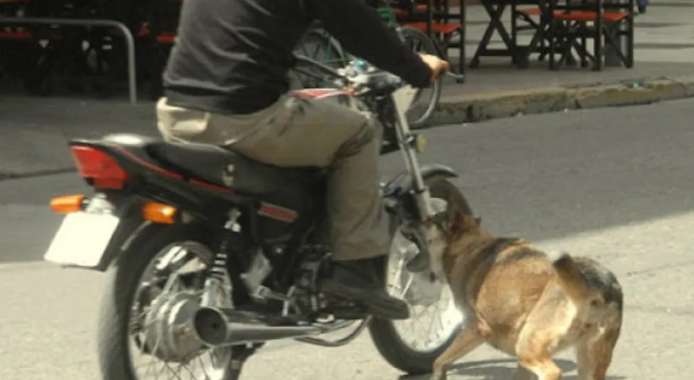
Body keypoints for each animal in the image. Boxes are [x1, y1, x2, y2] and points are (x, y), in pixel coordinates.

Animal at [424, 208, 624, 380]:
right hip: (591, 360)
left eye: (431, 220)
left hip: (528, 346)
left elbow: (438, 361)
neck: (471, 243)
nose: (420, 218)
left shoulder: (475, 329)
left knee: (552, 372)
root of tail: (591, 282)